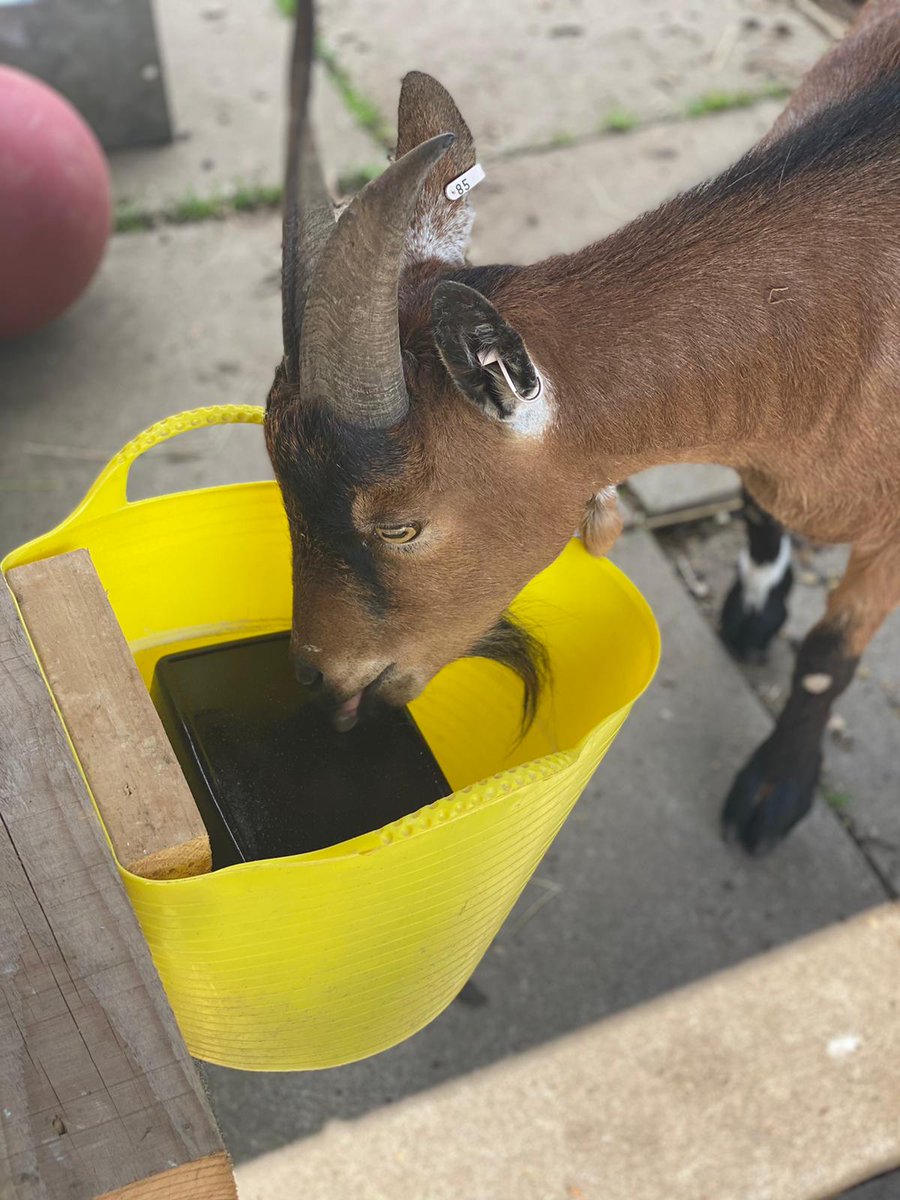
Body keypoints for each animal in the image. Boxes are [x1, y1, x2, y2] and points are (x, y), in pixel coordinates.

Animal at [265, 0, 900, 855]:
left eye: (400, 526)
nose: (318, 677)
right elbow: (756, 502)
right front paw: (756, 607)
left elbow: (829, 654)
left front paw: (773, 795)